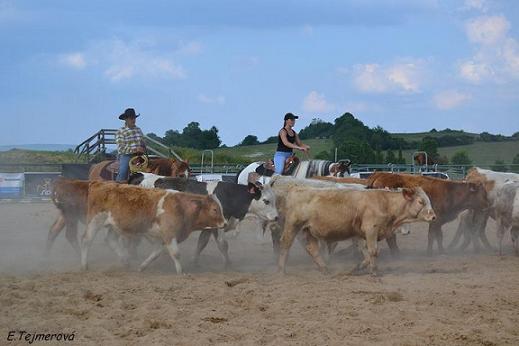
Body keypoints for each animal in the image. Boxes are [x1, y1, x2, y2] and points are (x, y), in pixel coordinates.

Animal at [80, 181, 225, 274]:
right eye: (214, 209)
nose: (225, 224)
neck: (181, 207)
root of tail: (99, 184)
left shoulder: (161, 238)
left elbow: (156, 253)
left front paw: (142, 267)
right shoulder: (169, 234)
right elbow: (176, 253)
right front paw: (180, 271)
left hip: (115, 225)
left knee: (110, 239)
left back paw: (125, 261)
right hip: (95, 220)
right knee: (86, 240)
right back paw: (84, 265)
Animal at [127, 173, 278, 268]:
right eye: (266, 201)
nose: (277, 217)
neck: (228, 196)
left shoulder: (209, 228)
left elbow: (202, 243)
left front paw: (194, 262)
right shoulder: (218, 226)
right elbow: (223, 245)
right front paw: (228, 264)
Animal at [278, 187, 436, 276]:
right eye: (421, 202)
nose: (433, 216)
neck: (385, 203)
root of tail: (295, 191)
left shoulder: (361, 235)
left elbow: (365, 254)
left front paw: (356, 268)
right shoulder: (371, 230)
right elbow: (373, 252)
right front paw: (374, 272)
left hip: (308, 230)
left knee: (312, 249)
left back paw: (325, 269)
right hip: (293, 226)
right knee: (285, 244)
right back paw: (282, 270)